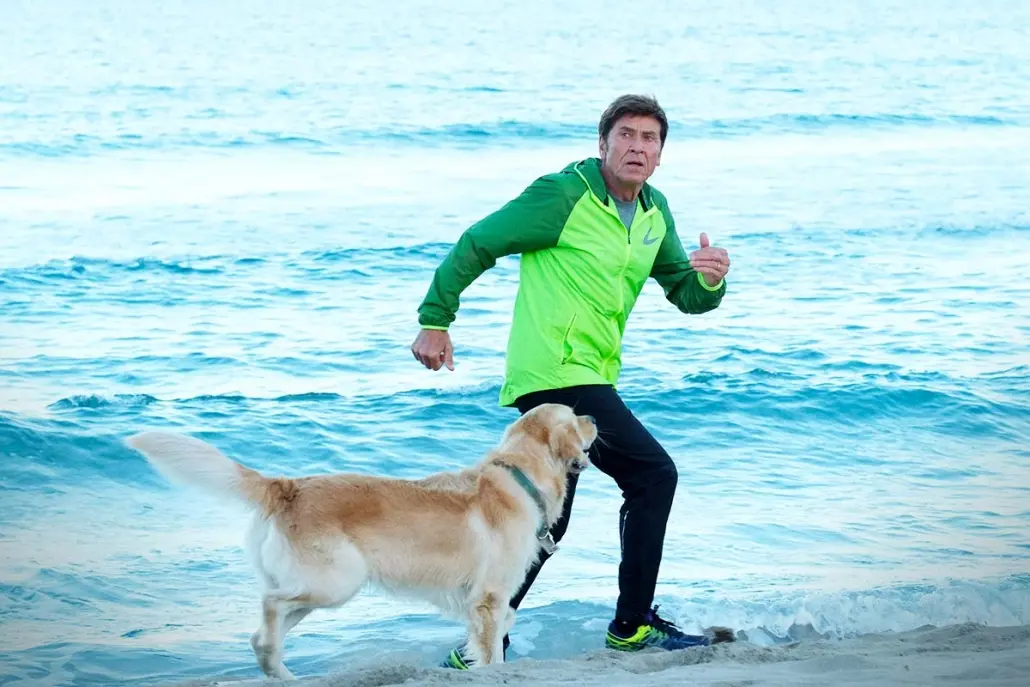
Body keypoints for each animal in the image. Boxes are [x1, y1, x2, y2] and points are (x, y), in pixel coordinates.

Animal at [125, 402, 598, 679]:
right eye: (575, 416)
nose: (595, 417)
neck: (519, 478)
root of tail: (287, 486)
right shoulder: (490, 599)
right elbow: (492, 651)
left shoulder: (487, 604)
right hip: (337, 581)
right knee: (270, 606)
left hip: (317, 588)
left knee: (262, 635)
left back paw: (282, 673)